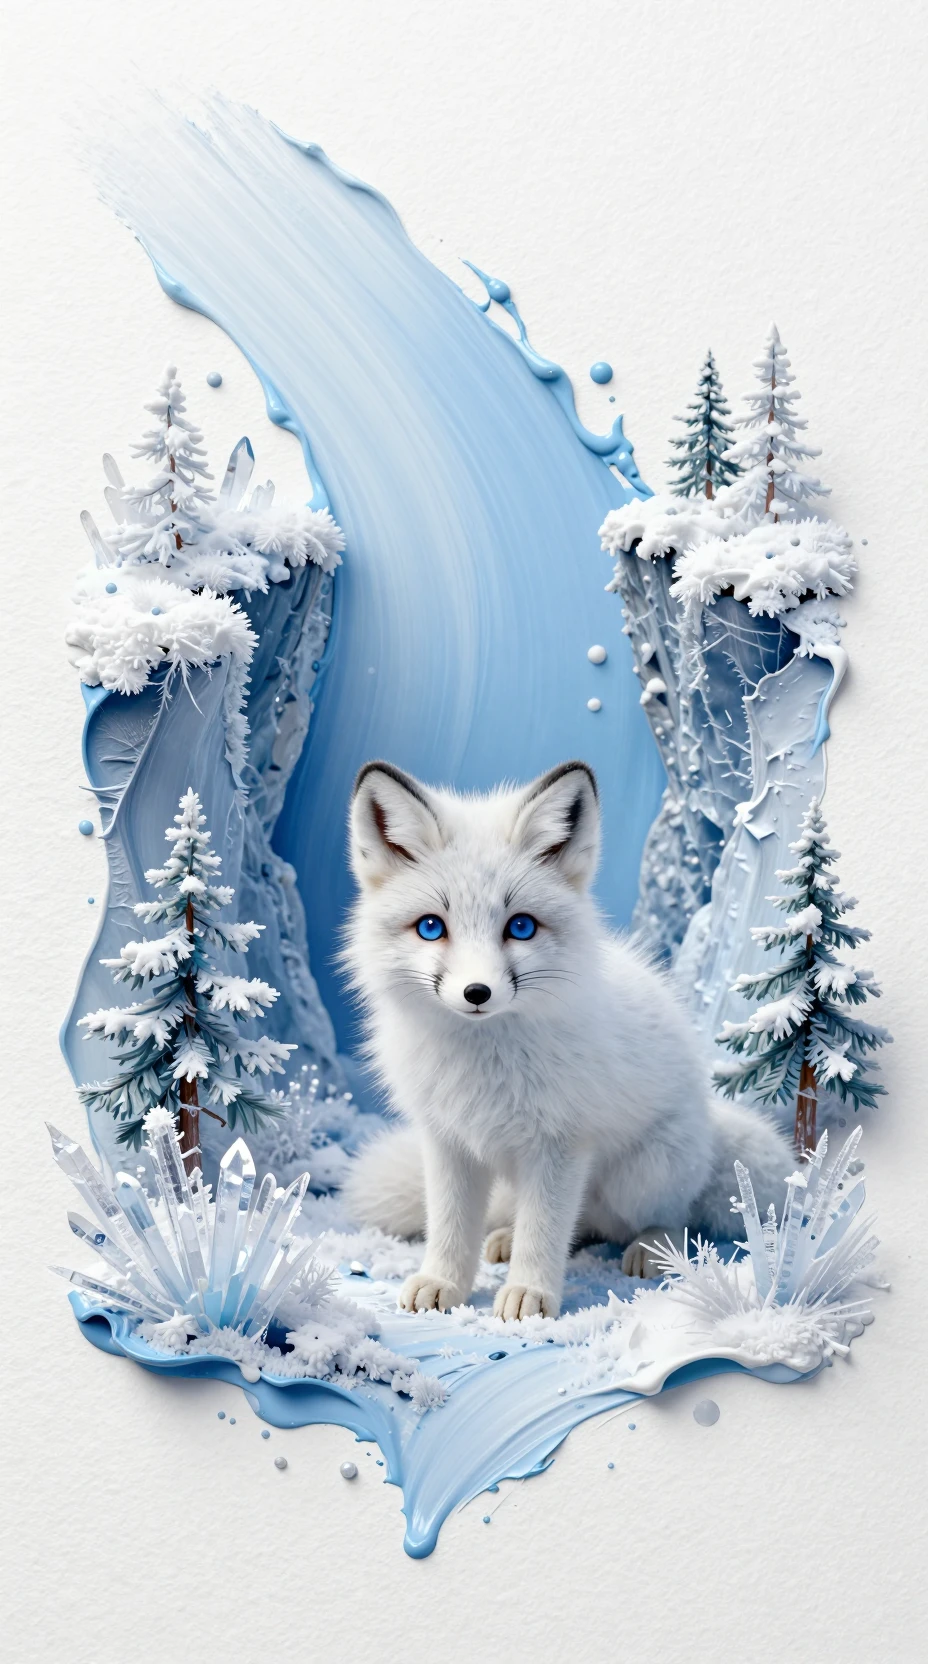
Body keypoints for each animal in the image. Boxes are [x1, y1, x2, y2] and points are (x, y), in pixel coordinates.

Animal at [340, 758, 794, 1320]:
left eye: (520, 927)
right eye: (430, 927)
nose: (476, 993)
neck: (482, 1065)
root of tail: (709, 1121)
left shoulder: (560, 1145)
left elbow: (546, 1232)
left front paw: (529, 1294)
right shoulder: (448, 1142)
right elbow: (449, 1228)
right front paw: (442, 1282)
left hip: (642, 1176)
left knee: (669, 1218)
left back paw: (652, 1247)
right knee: (576, 1227)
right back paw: (505, 1236)